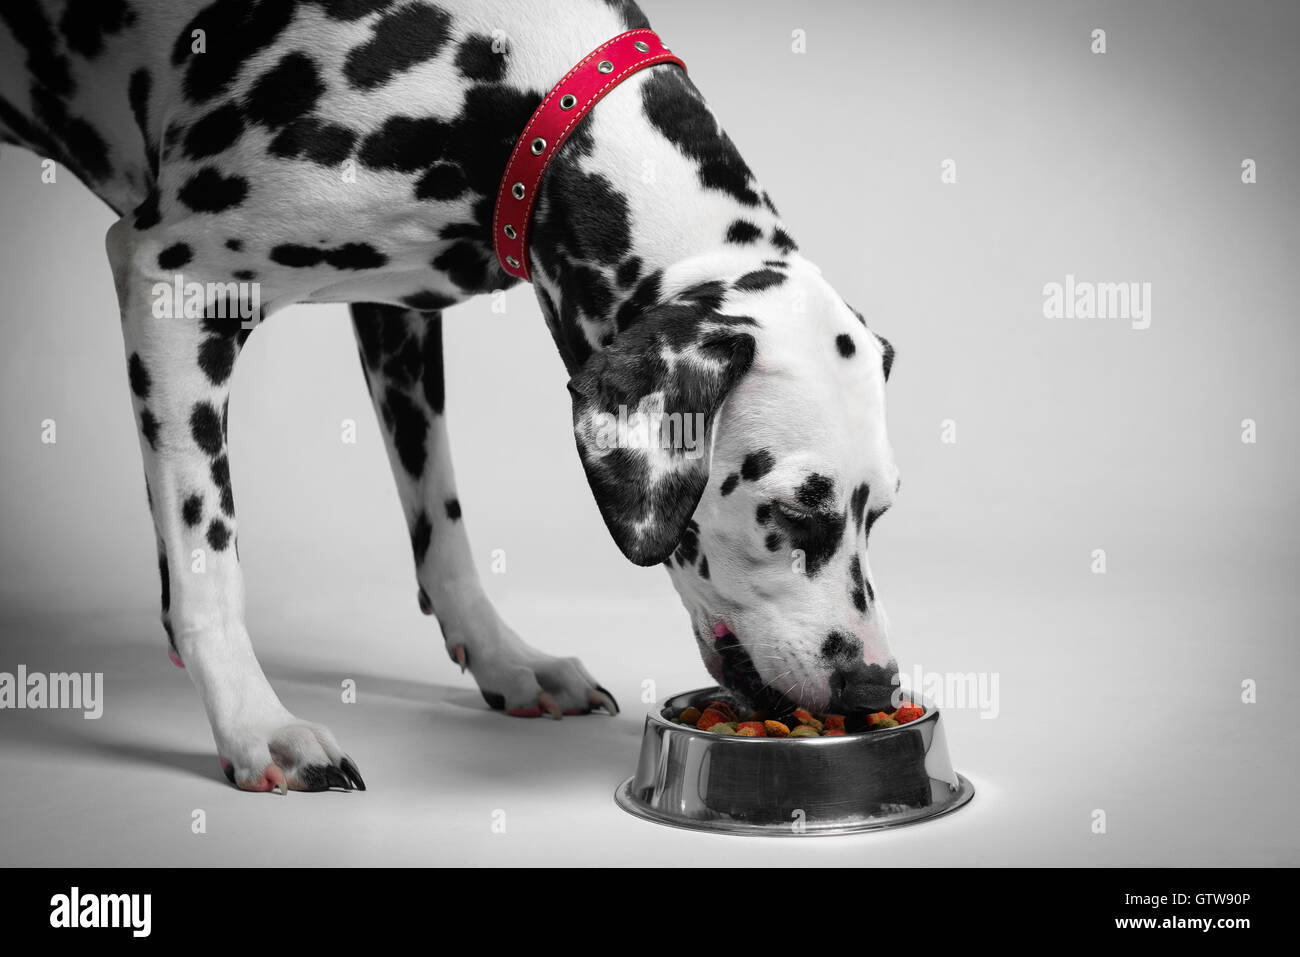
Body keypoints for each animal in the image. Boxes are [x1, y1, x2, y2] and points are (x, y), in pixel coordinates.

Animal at [2, 0, 904, 790]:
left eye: (883, 512)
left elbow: (442, 523)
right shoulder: (173, 285)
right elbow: (207, 558)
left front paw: (505, 657)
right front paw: (254, 724)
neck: (517, 77)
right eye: (788, 512)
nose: (876, 687)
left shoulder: (397, 315)